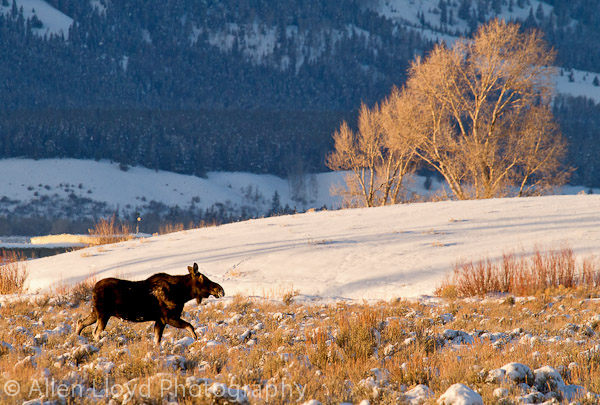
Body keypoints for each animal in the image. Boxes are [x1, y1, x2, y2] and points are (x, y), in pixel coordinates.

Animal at [75, 263, 225, 345]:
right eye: (203, 279)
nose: (220, 289)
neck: (182, 294)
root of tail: (93, 289)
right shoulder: (168, 317)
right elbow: (190, 327)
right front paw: (195, 339)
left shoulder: (160, 320)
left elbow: (157, 340)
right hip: (103, 314)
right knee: (95, 332)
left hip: (96, 312)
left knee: (80, 322)